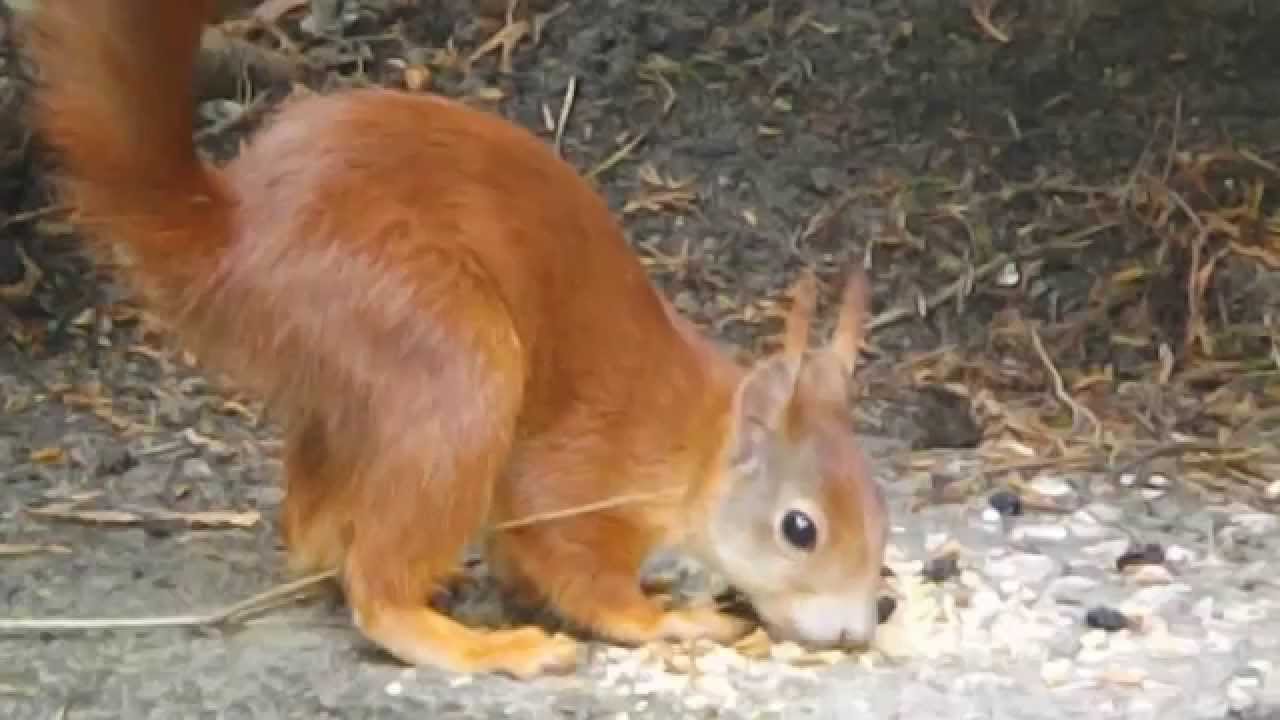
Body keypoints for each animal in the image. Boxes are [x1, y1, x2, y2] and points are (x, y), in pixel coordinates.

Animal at [26, 0, 889, 678]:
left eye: (881, 511)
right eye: (801, 530)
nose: (856, 631)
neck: (693, 442)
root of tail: (230, 245)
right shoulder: (574, 477)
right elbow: (585, 575)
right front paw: (667, 618)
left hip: (351, 384)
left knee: (312, 530)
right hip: (447, 356)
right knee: (377, 590)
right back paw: (474, 642)